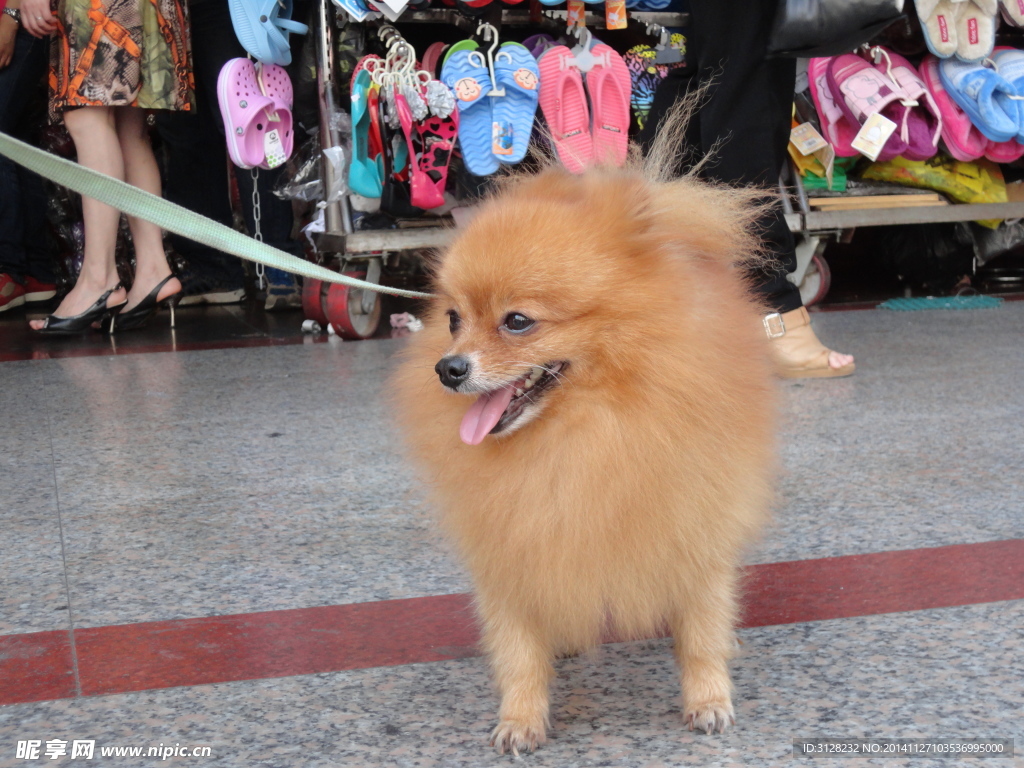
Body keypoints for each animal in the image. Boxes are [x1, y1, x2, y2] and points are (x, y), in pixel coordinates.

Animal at [391, 112, 774, 757]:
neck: (579, 435)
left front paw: (709, 698)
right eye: (453, 320)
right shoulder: (509, 544)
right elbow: (517, 649)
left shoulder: (696, 523)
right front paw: (520, 718)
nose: (448, 368)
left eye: (518, 321)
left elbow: (701, 627)